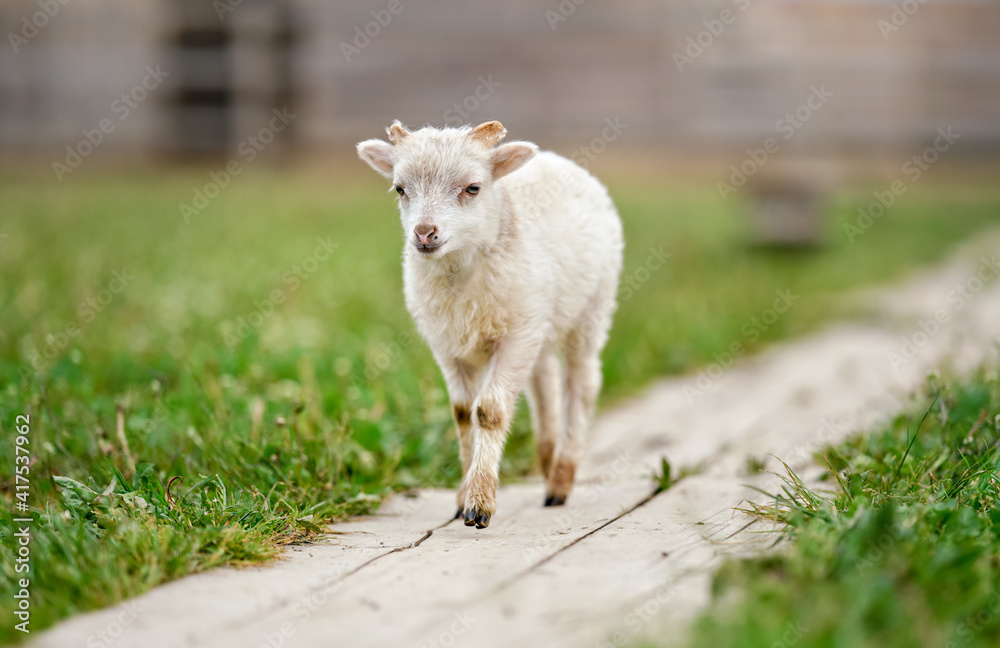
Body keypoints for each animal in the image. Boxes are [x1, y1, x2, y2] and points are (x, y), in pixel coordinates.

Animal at [357, 120, 623, 529]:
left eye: (473, 188)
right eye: (400, 189)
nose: (424, 233)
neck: (459, 271)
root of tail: (557, 159)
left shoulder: (515, 336)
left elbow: (489, 411)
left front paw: (480, 504)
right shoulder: (448, 344)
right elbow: (463, 414)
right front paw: (463, 497)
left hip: (591, 308)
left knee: (582, 381)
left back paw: (561, 480)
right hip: (538, 320)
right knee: (544, 382)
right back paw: (547, 462)